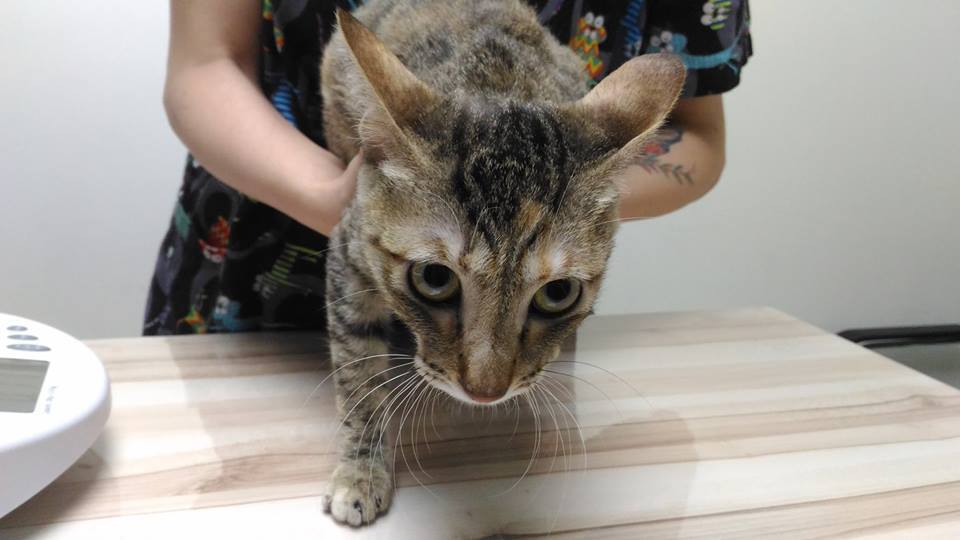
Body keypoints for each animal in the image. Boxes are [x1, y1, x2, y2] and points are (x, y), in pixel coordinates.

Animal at [319, 0, 683, 526]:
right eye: (434, 278)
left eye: (558, 293)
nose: (486, 392)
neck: (500, 82)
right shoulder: (349, 254)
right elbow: (358, 376)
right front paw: (360, 472)